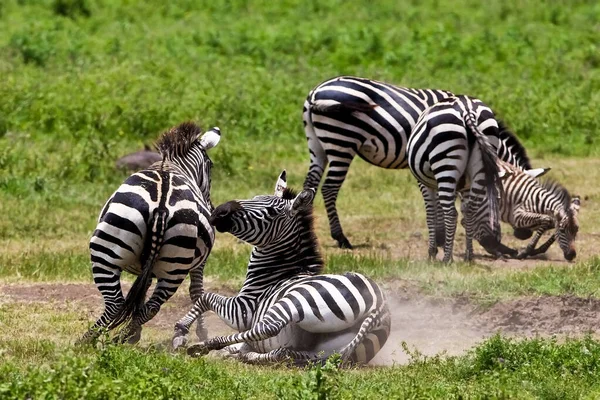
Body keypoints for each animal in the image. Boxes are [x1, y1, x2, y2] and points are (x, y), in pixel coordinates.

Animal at [78, 122, 220, 344]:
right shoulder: (199, 263)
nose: (212, 208)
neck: (172, 164)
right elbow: (196, 292)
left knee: (119, 303)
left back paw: (95, 340)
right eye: (211, 166)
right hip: (169, 264)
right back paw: (111, 338)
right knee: (143, 305)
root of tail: (162, 205)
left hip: (109, 250)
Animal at [171, 171, 392, 366]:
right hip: (330, 348)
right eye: (254, 197)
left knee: (268, 327)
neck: (274, 272)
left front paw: (180, 331)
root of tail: (379, 307)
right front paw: (231, 351)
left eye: (271, 213)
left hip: (296, 299)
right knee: (286, 353)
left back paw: (206, 346)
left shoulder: (242, 310)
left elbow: (206, 298)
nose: (218, 211)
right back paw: (247, 354)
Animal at [404, 94, 506, 262]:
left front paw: (432, 252)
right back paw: (469, 257)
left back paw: (446, 260)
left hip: (445, 162)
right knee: (470, 210)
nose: (495, 242)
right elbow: (461, 212)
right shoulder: (464, 186)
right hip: (480, 166)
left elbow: (431, 214)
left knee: (451, 214)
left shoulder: (425, 184)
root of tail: (467, 110)